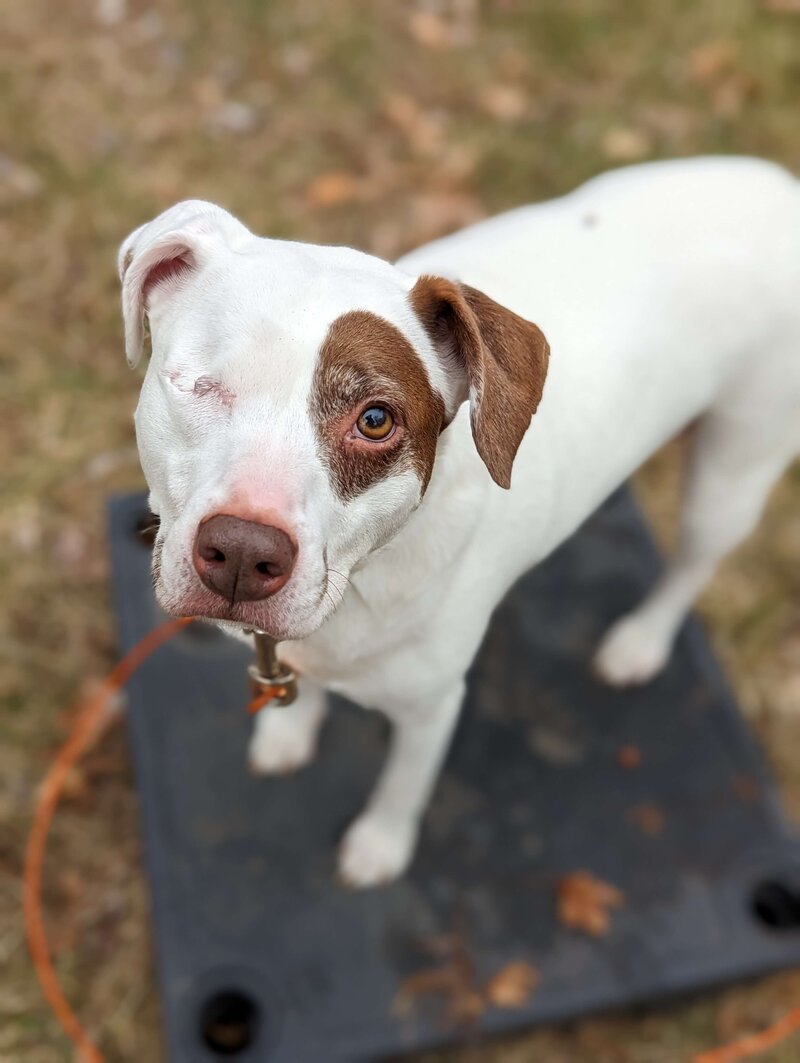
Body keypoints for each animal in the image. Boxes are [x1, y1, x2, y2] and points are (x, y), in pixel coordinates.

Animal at [118, 157, 798, 888]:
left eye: (376, 420)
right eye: (197, 385)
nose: (244, 553)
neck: (365, 577)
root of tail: (778, 185)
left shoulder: (432, 706)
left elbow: (403, 785)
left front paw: (379, 848)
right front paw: (289, 733)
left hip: (733, 472)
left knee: (694, 564)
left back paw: (640, 641)